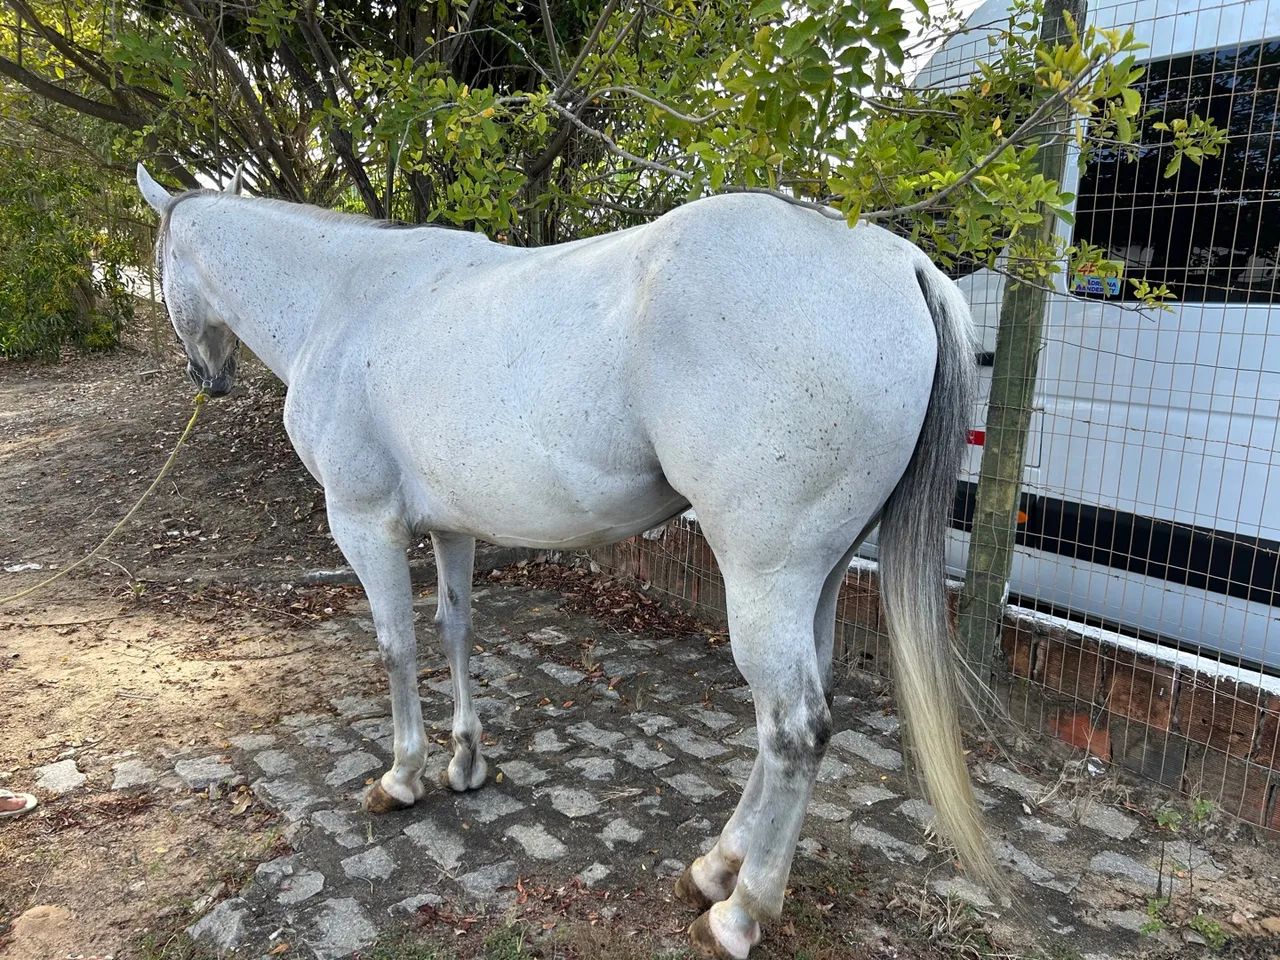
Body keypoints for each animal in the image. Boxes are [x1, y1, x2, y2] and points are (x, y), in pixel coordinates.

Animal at [136, 163, 994, 959]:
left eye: (157, 260)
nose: (207, 378)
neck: (342, 300)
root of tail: (901, 263)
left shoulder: (363, 521)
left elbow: (395, 647)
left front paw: (403, 778)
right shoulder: (452, 527)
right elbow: (454, 631)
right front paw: (465, 764)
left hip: (765, 580)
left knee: (793, 729)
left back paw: (739, 913)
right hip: (817, 578)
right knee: (797, 718)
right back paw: (714, 868)